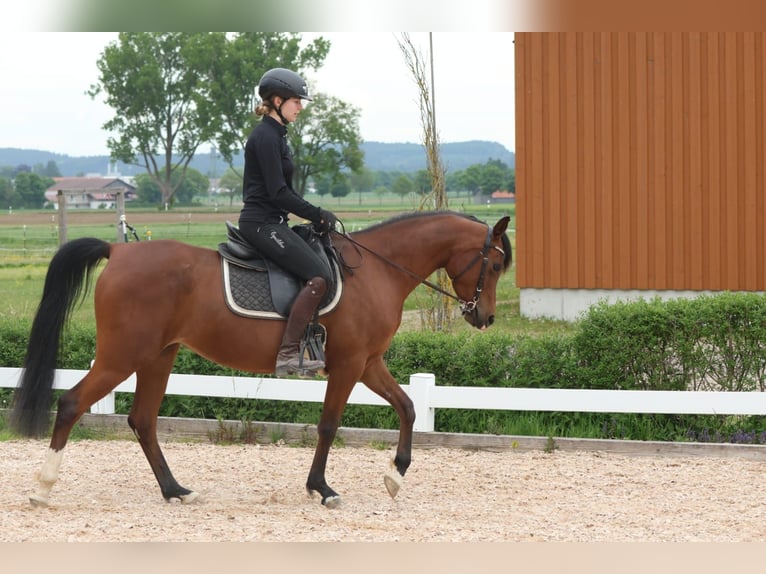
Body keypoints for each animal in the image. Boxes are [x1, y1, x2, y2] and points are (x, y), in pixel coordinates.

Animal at [10, 210, 512, 508]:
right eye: (495, 265)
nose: (485, 317)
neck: (378, 270)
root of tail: (120, 249)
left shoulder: (368, 363)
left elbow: (407, 407)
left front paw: (396, 476)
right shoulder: (349, 366)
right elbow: (329, 425)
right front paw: (322, 488)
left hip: (158, 356)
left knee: (143, 420)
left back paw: (175, 490)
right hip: (123, 356)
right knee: (72, 404)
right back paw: (42, 489)